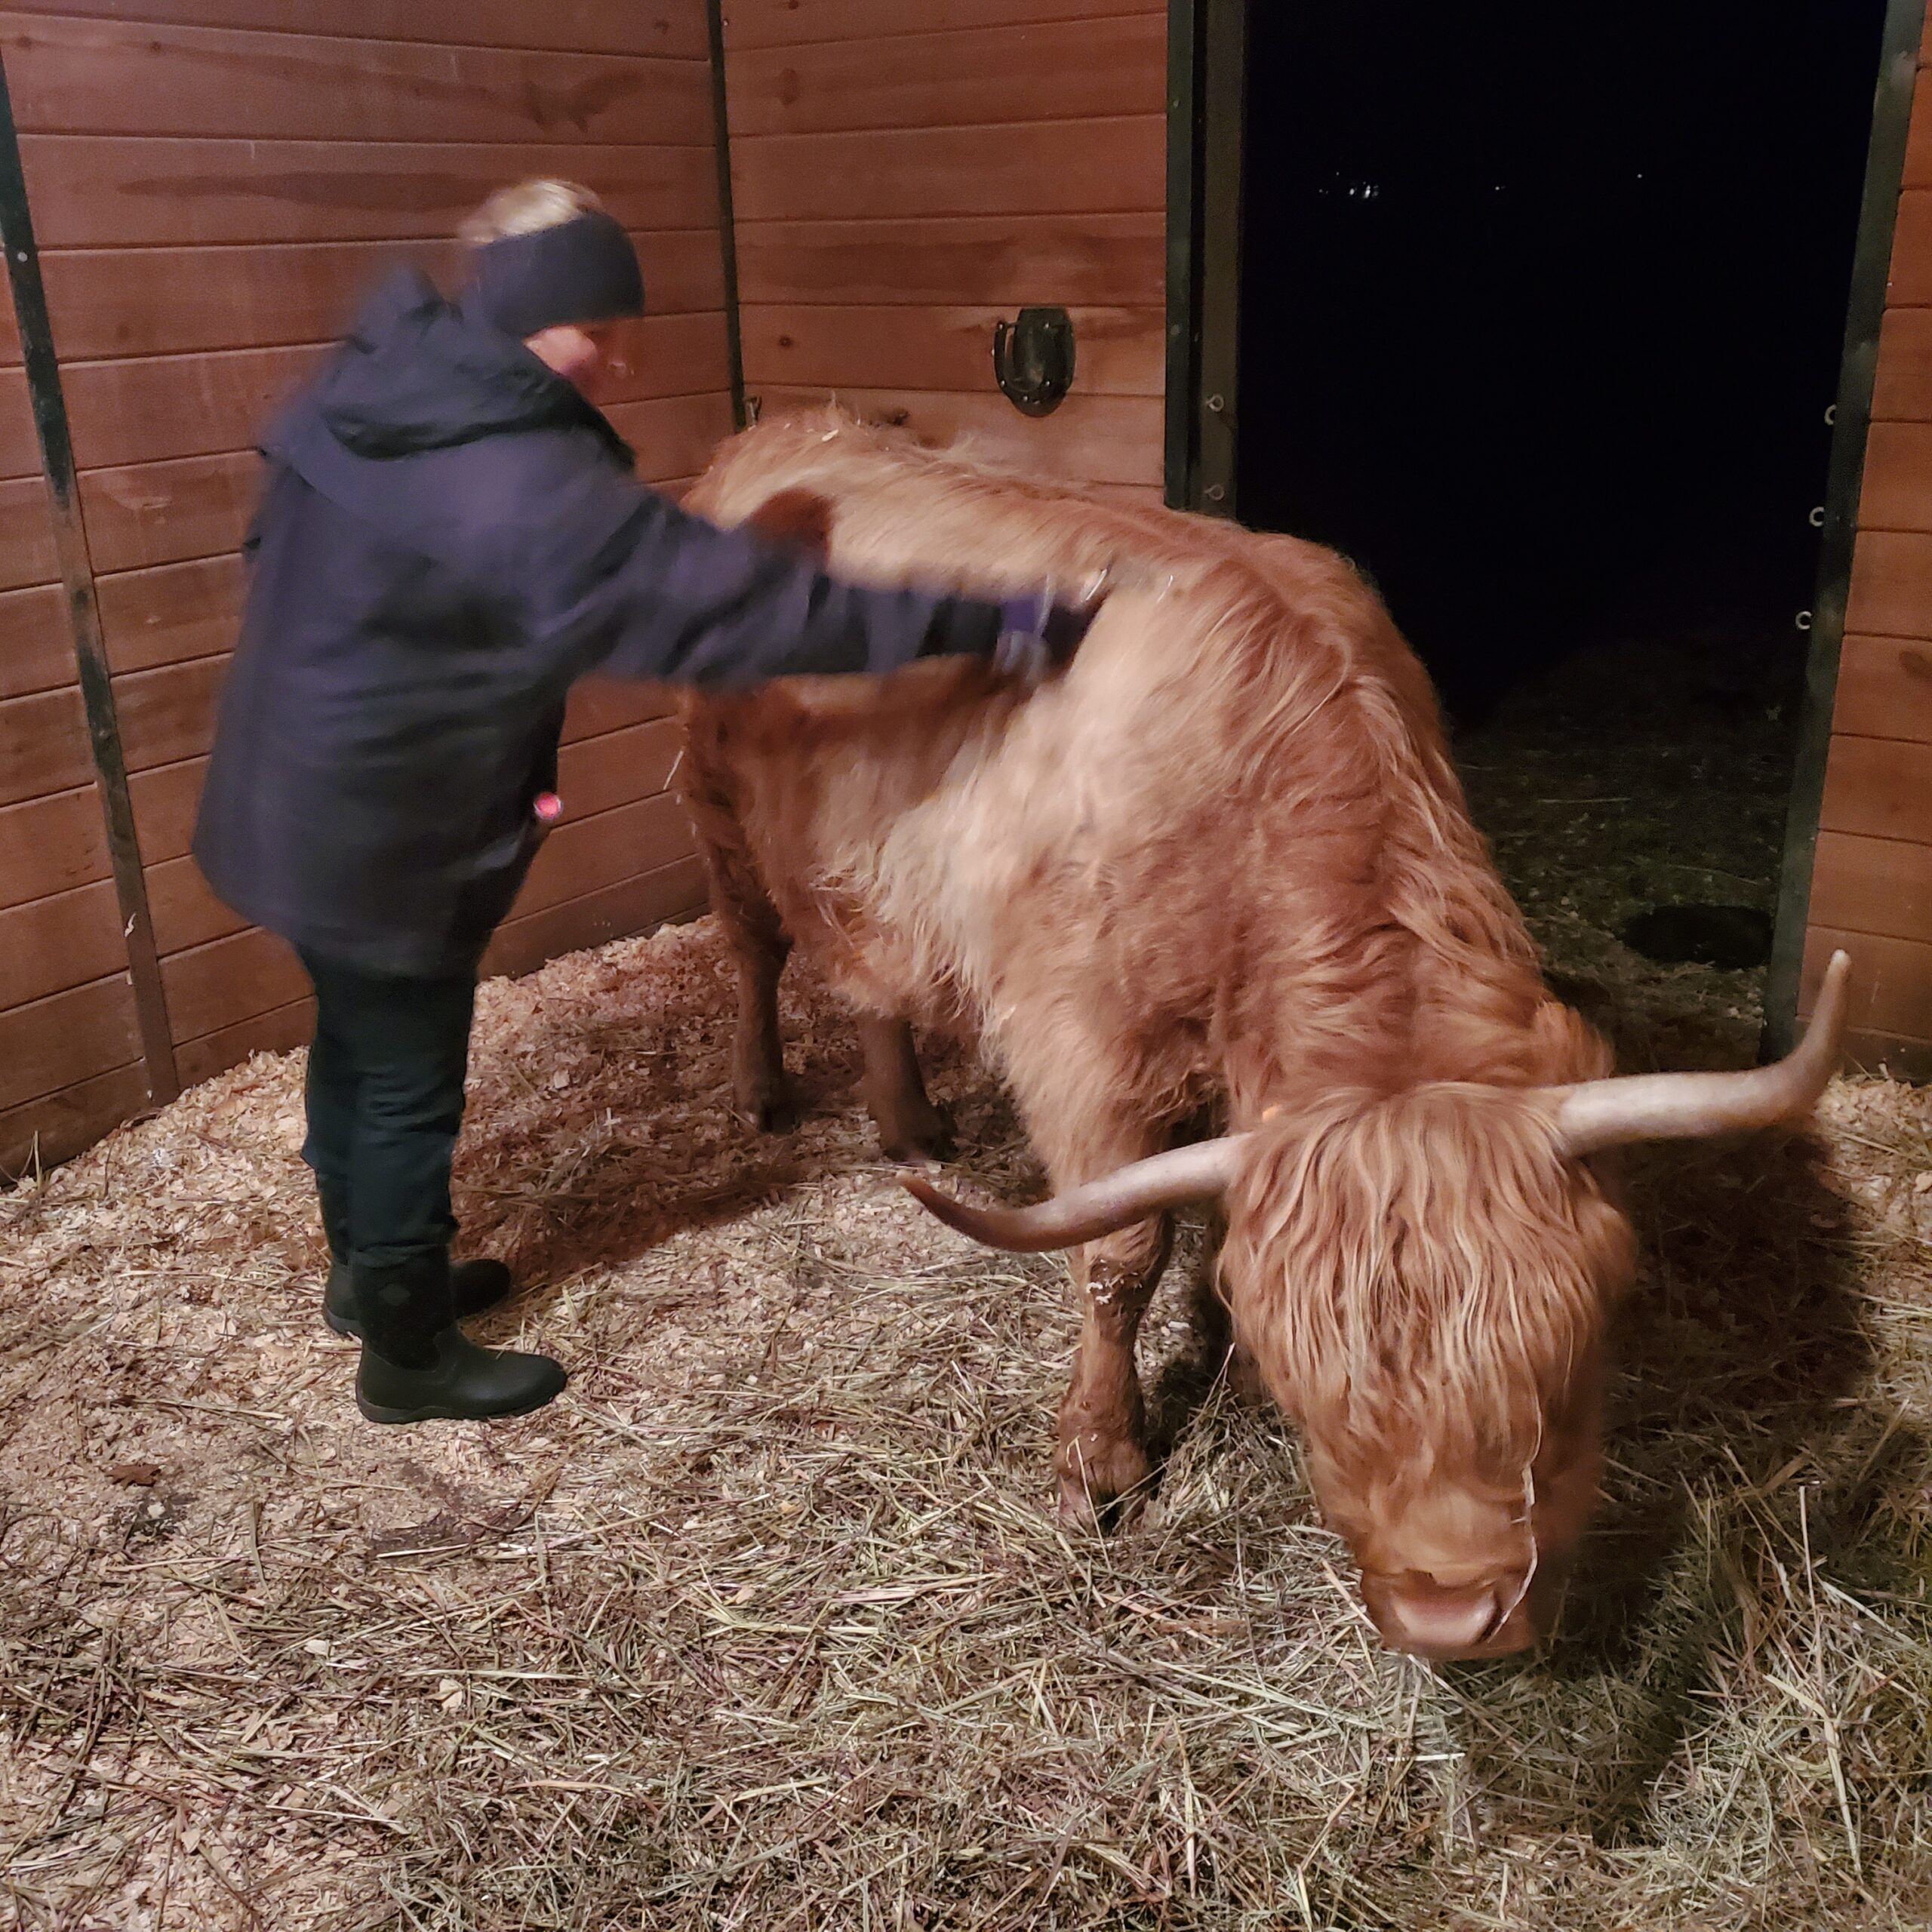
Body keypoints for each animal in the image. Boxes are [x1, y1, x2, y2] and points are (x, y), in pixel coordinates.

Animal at [673, 407, 1850, 1661]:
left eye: (1569, 1364)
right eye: (1318, 1403)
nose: (1451, 1612)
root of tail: (792, 429)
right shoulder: (1082, 1050)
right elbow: (1119, 1254)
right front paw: (1100, 1458)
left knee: (871, 972)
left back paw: (909, 1123)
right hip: (718, 805)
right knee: (755, 943)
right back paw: (762, 1090)